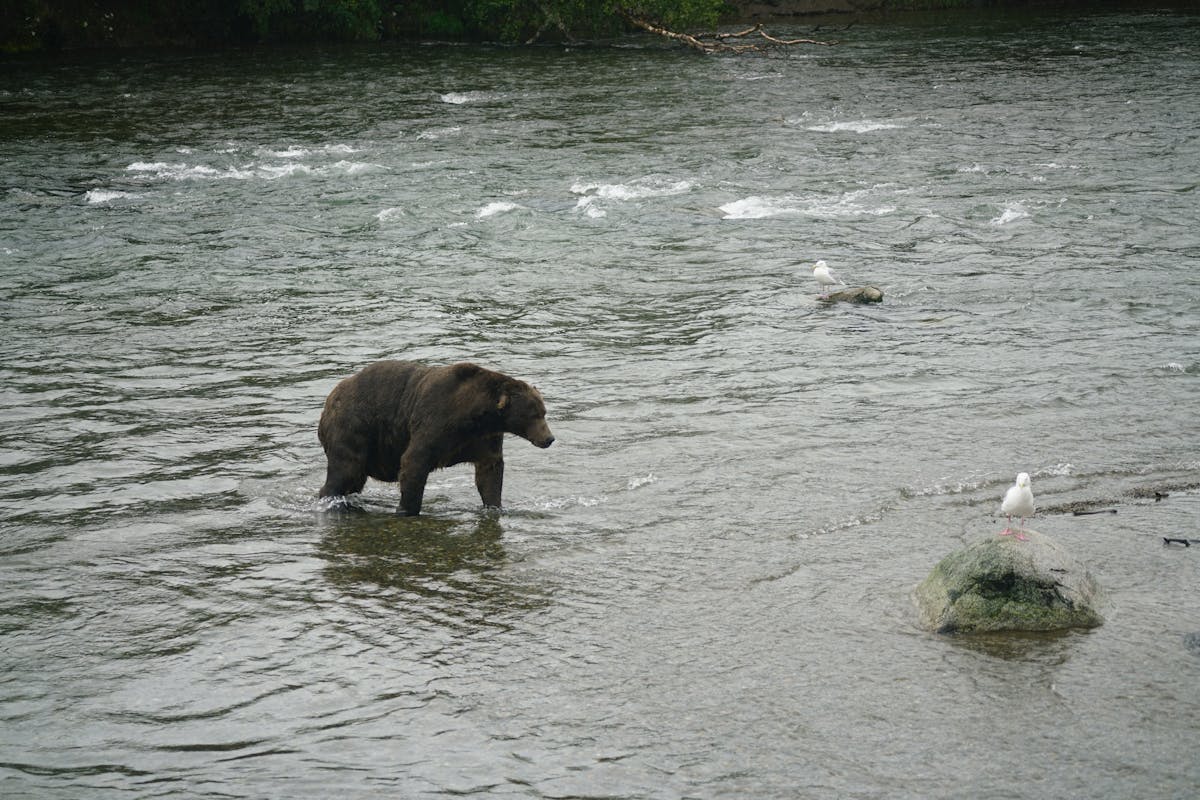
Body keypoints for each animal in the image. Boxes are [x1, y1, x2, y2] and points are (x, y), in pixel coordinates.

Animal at [317, 360, 554, 516]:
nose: (549, 438)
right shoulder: (437, 422)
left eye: (543, 412)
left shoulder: (484, 440)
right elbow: (413, 462)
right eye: (533, 414)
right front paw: (407, 509)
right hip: (353, 426)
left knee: (354, 479)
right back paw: (330, 499)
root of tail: (329, 398)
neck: (478, 416)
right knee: (345, 470)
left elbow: (489, 473)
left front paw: (495, 506)